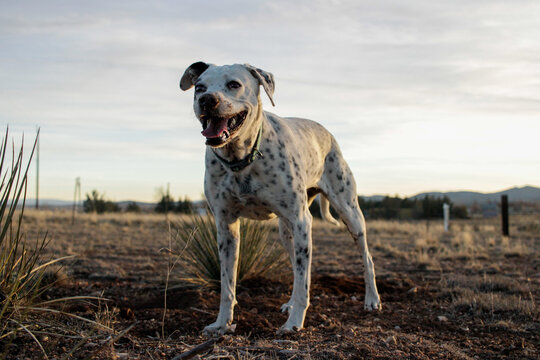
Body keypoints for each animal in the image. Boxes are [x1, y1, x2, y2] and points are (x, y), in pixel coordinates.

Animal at [179, 62, 382, 334]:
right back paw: (291, 302)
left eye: (234, 84)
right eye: (199, 87)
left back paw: (371, 299)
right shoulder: (226, 227)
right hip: (287, 233)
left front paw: (295, 323)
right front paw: (222, 323)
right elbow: (227, 285)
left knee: (365, 258)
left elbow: (304, 281)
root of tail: (326, 132)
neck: (242, 159)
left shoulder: (301, 220)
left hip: (349, 215)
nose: (208, 99)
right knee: (297, 268)